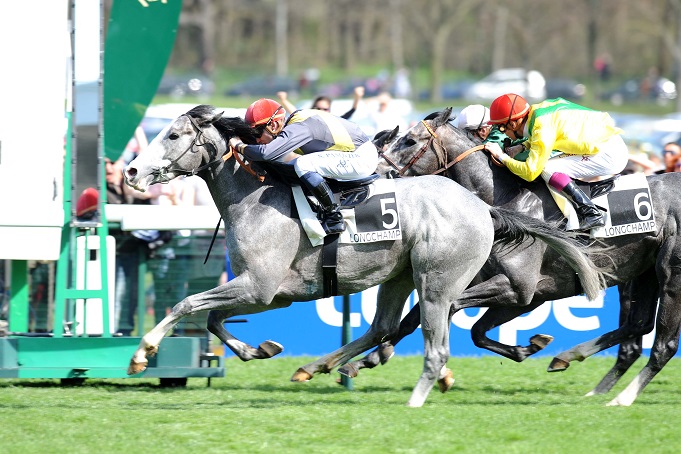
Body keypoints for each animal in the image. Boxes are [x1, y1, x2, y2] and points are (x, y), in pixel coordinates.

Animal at [122, 106, 600, 408]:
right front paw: (259, 349)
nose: (130, 171)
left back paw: (416, 390)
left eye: (174, 135)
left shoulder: (259, 287)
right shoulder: (272, 293)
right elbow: (214, 321)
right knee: (383, 327)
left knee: (430, 337)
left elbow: (187, 304)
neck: (254, 198)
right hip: (399, 275)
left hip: (437, 282)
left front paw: (142, 354)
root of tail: (482, 208)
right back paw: (324, 366)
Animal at [358, 108, 676, 406]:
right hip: (643, 274)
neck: (502, 200)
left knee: (663, 344)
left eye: (410, 140)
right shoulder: (523, 293)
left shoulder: (520, 288)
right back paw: (578, 367)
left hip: (669, 274)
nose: (379, 173)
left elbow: (453, 315)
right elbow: (449, 324)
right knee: (638, 327)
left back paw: (619, 395)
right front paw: (369, 358)